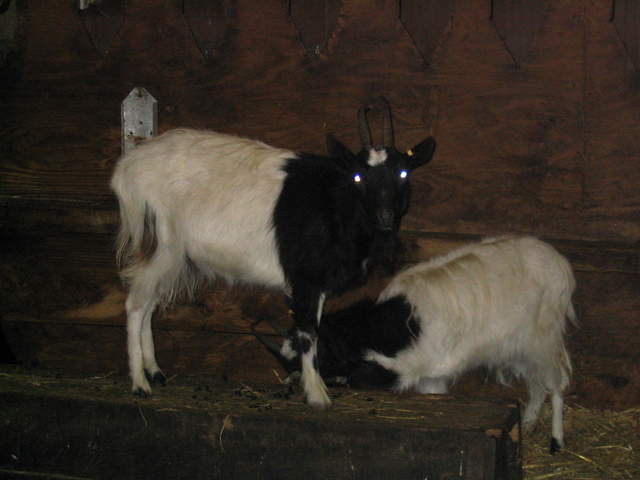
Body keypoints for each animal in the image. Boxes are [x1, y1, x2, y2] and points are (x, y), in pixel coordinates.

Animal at [110, 98, 436, 408]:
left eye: (403, 173)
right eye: (358, 176)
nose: (385, 216)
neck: (336, 205)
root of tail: (127, 169)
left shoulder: (316, 284)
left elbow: (312, 329)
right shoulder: (305, 279)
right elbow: (307, 332)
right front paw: (317, 394)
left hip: (172, 256)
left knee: (149, 303)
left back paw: (155, 371)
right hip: (162, 243)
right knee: (136, 304)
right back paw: (140, 383)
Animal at [279, 236, 576, 450]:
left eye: (319, 354)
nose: (291, 381)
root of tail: (560, 262)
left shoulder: (425, 369)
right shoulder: (426, 373)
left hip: (545, 339)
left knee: (556, 383)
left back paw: (556, 441)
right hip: (519, 348)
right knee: (537, 384)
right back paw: (529, 424)